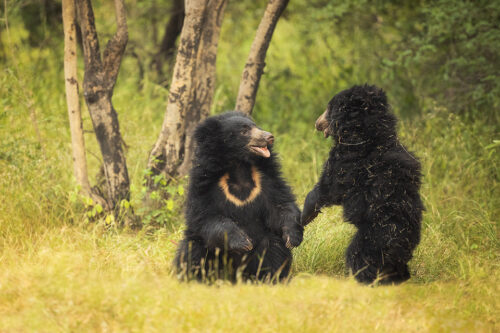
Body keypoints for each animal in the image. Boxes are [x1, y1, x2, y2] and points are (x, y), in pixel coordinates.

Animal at [174, 111, 302, 280]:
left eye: (256, 126)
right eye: (244, 131)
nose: (269, 136)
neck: (239, 166)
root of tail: (235, 275)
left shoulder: (268, 179)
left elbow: (280, 205)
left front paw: (292, 237)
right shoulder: (204, 184)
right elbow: (206, 217)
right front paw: (243, 242)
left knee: (273, 248)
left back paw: (270, 278)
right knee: (192, 252)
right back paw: (194, 278)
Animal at [300, 85, 422, 282]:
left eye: (329, 108)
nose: (317, 123)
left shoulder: (346, 163)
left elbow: (327, 188)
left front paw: (305, 216)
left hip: (374, 238)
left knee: (359, 257)